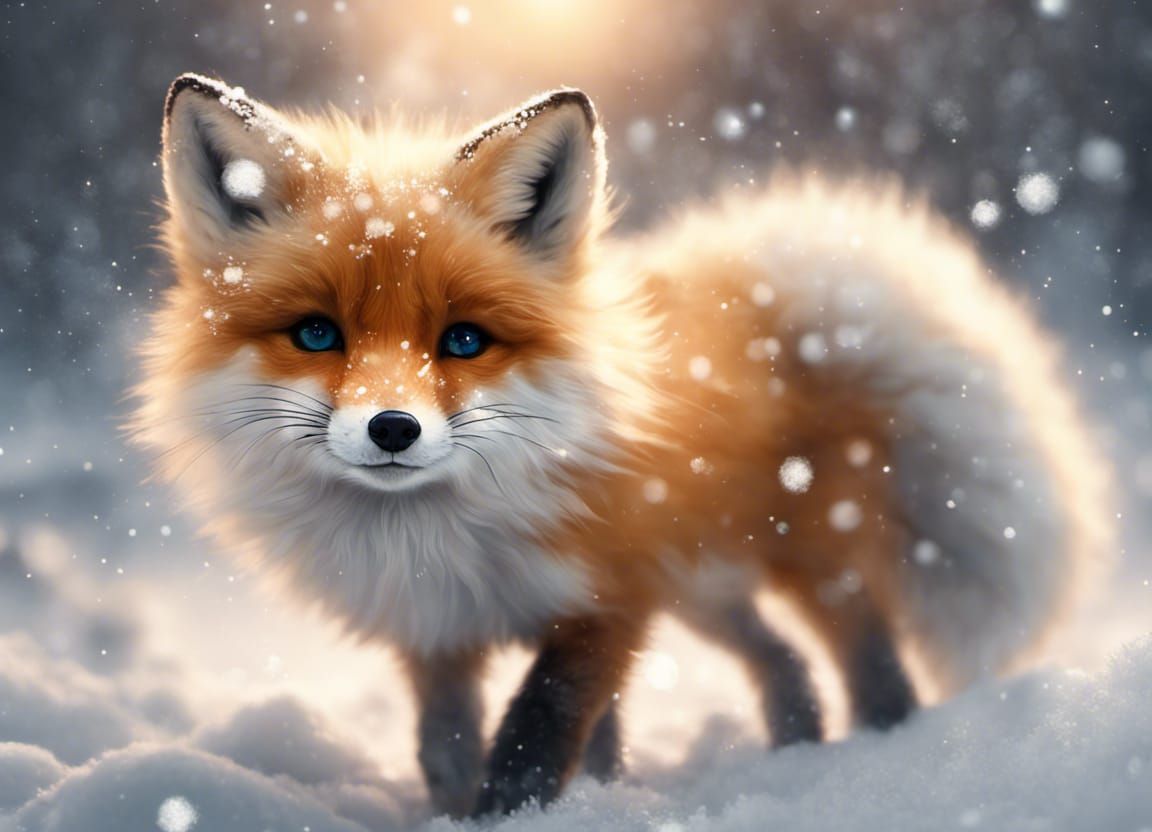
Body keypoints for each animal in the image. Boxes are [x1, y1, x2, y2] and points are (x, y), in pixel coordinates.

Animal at [133, 73, 1111, 817]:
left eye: (463, 340)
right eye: (316, 334)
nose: (393, 429)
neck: (438, 535)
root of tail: (787, 315)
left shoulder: (608, 598)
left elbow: (537, 731)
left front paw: (517, 814)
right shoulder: (437, 628)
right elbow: (453, 747)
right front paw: (520, 808)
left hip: (801, 554)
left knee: (865, 660)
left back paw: (876, 756)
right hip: (706, 584)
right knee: (784, 660)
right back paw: (794, 755)